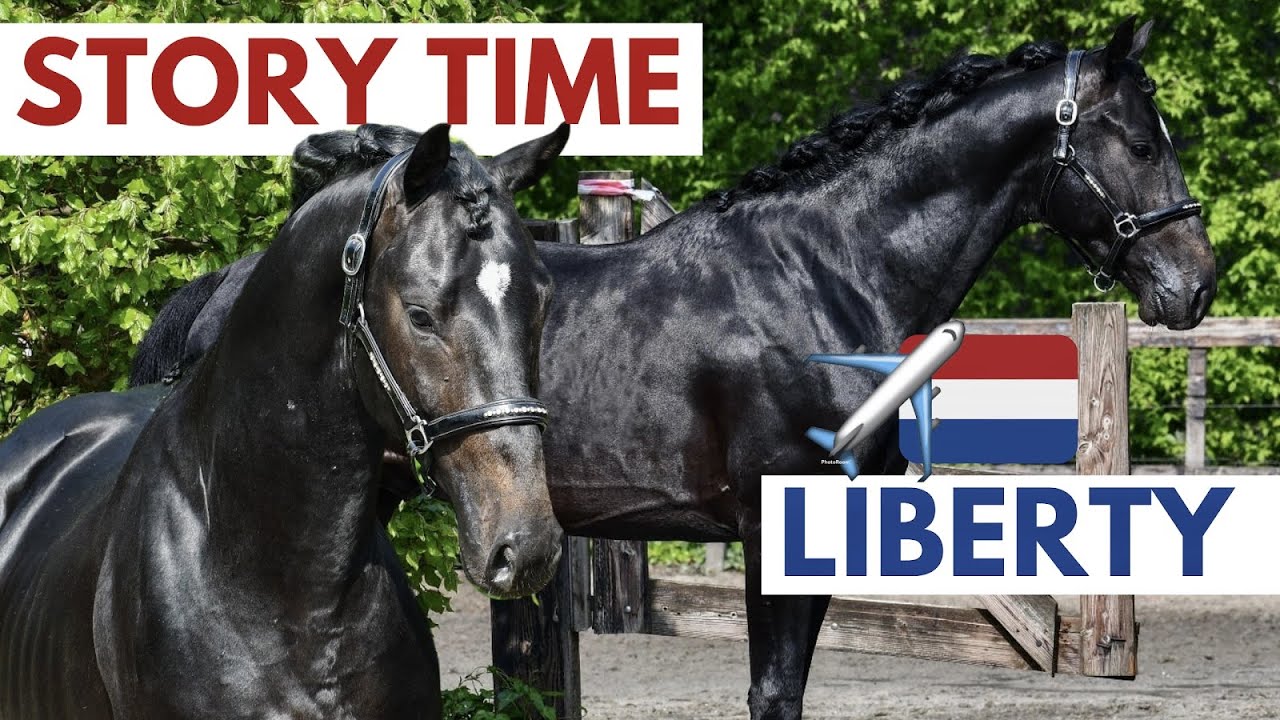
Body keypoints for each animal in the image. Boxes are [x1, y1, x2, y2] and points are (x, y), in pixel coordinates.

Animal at [126, 18, 1216, 719]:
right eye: (1135, 139)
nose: (1193, 284)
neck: (823, 272)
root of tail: (208, 301)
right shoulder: (775, 527)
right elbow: (772, 692)